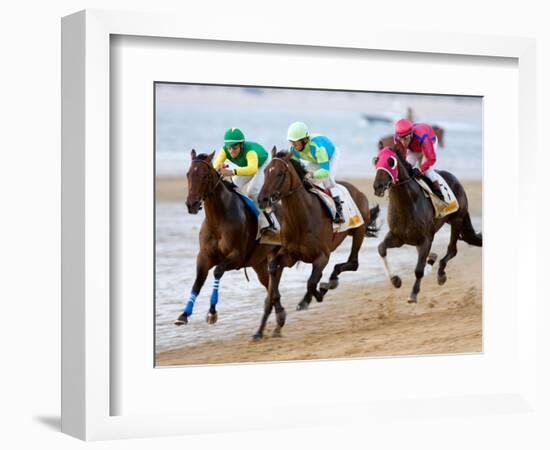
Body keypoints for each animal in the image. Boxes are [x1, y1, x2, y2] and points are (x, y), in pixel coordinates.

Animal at [174, 149, 286, 334]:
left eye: (205, 175)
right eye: (188, 174)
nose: (192, 204)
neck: (218, 220)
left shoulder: (237, 257)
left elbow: (217, 271)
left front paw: (212, 312)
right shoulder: (204, 257)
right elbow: (198, 281)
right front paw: (184, 314)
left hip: (272, 257)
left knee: (273, 284)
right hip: (259, 264)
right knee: (270, 285)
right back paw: (279, 316)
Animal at [256, 149, 382, 340]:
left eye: (279, 173)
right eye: (264, 171)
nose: (262, 199)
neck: (301, 218)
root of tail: (357, 190)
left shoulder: (322, 256)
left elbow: (311, 282)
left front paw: (313, 297)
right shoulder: (290, 256)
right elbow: (273, 268)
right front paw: (280, 311)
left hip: (358, 231)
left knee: (353, 263)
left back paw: (328, 283)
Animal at [376, 146, 484, 304]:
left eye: (391, 162)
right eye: (376, 160)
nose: (377, 186)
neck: (407, 203)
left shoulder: (426, 239)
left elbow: (418, 270)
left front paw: (413, 294)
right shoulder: (398, 237)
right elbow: (381, 248)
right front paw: (395, 280)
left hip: (457, 220)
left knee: (452, 250)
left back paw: (441, 274)